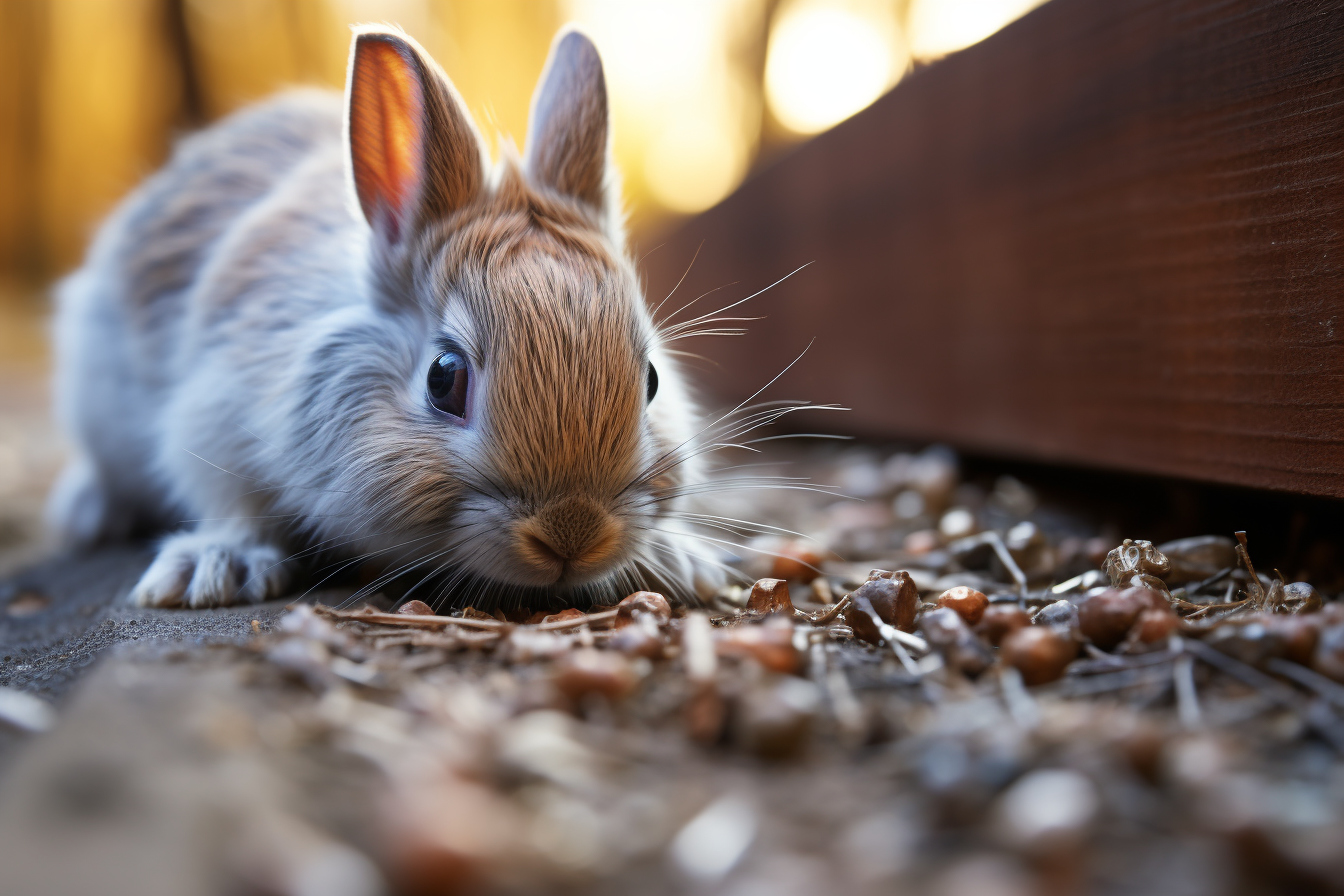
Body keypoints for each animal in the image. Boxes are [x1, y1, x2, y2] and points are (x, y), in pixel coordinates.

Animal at [47, 26, 725, 609]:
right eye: (443, 377)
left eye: (652, 381)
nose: (572, 534)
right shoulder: (211, 412)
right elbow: (228, 498)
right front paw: (217, 569)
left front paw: (682, 560)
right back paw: (90, 513)